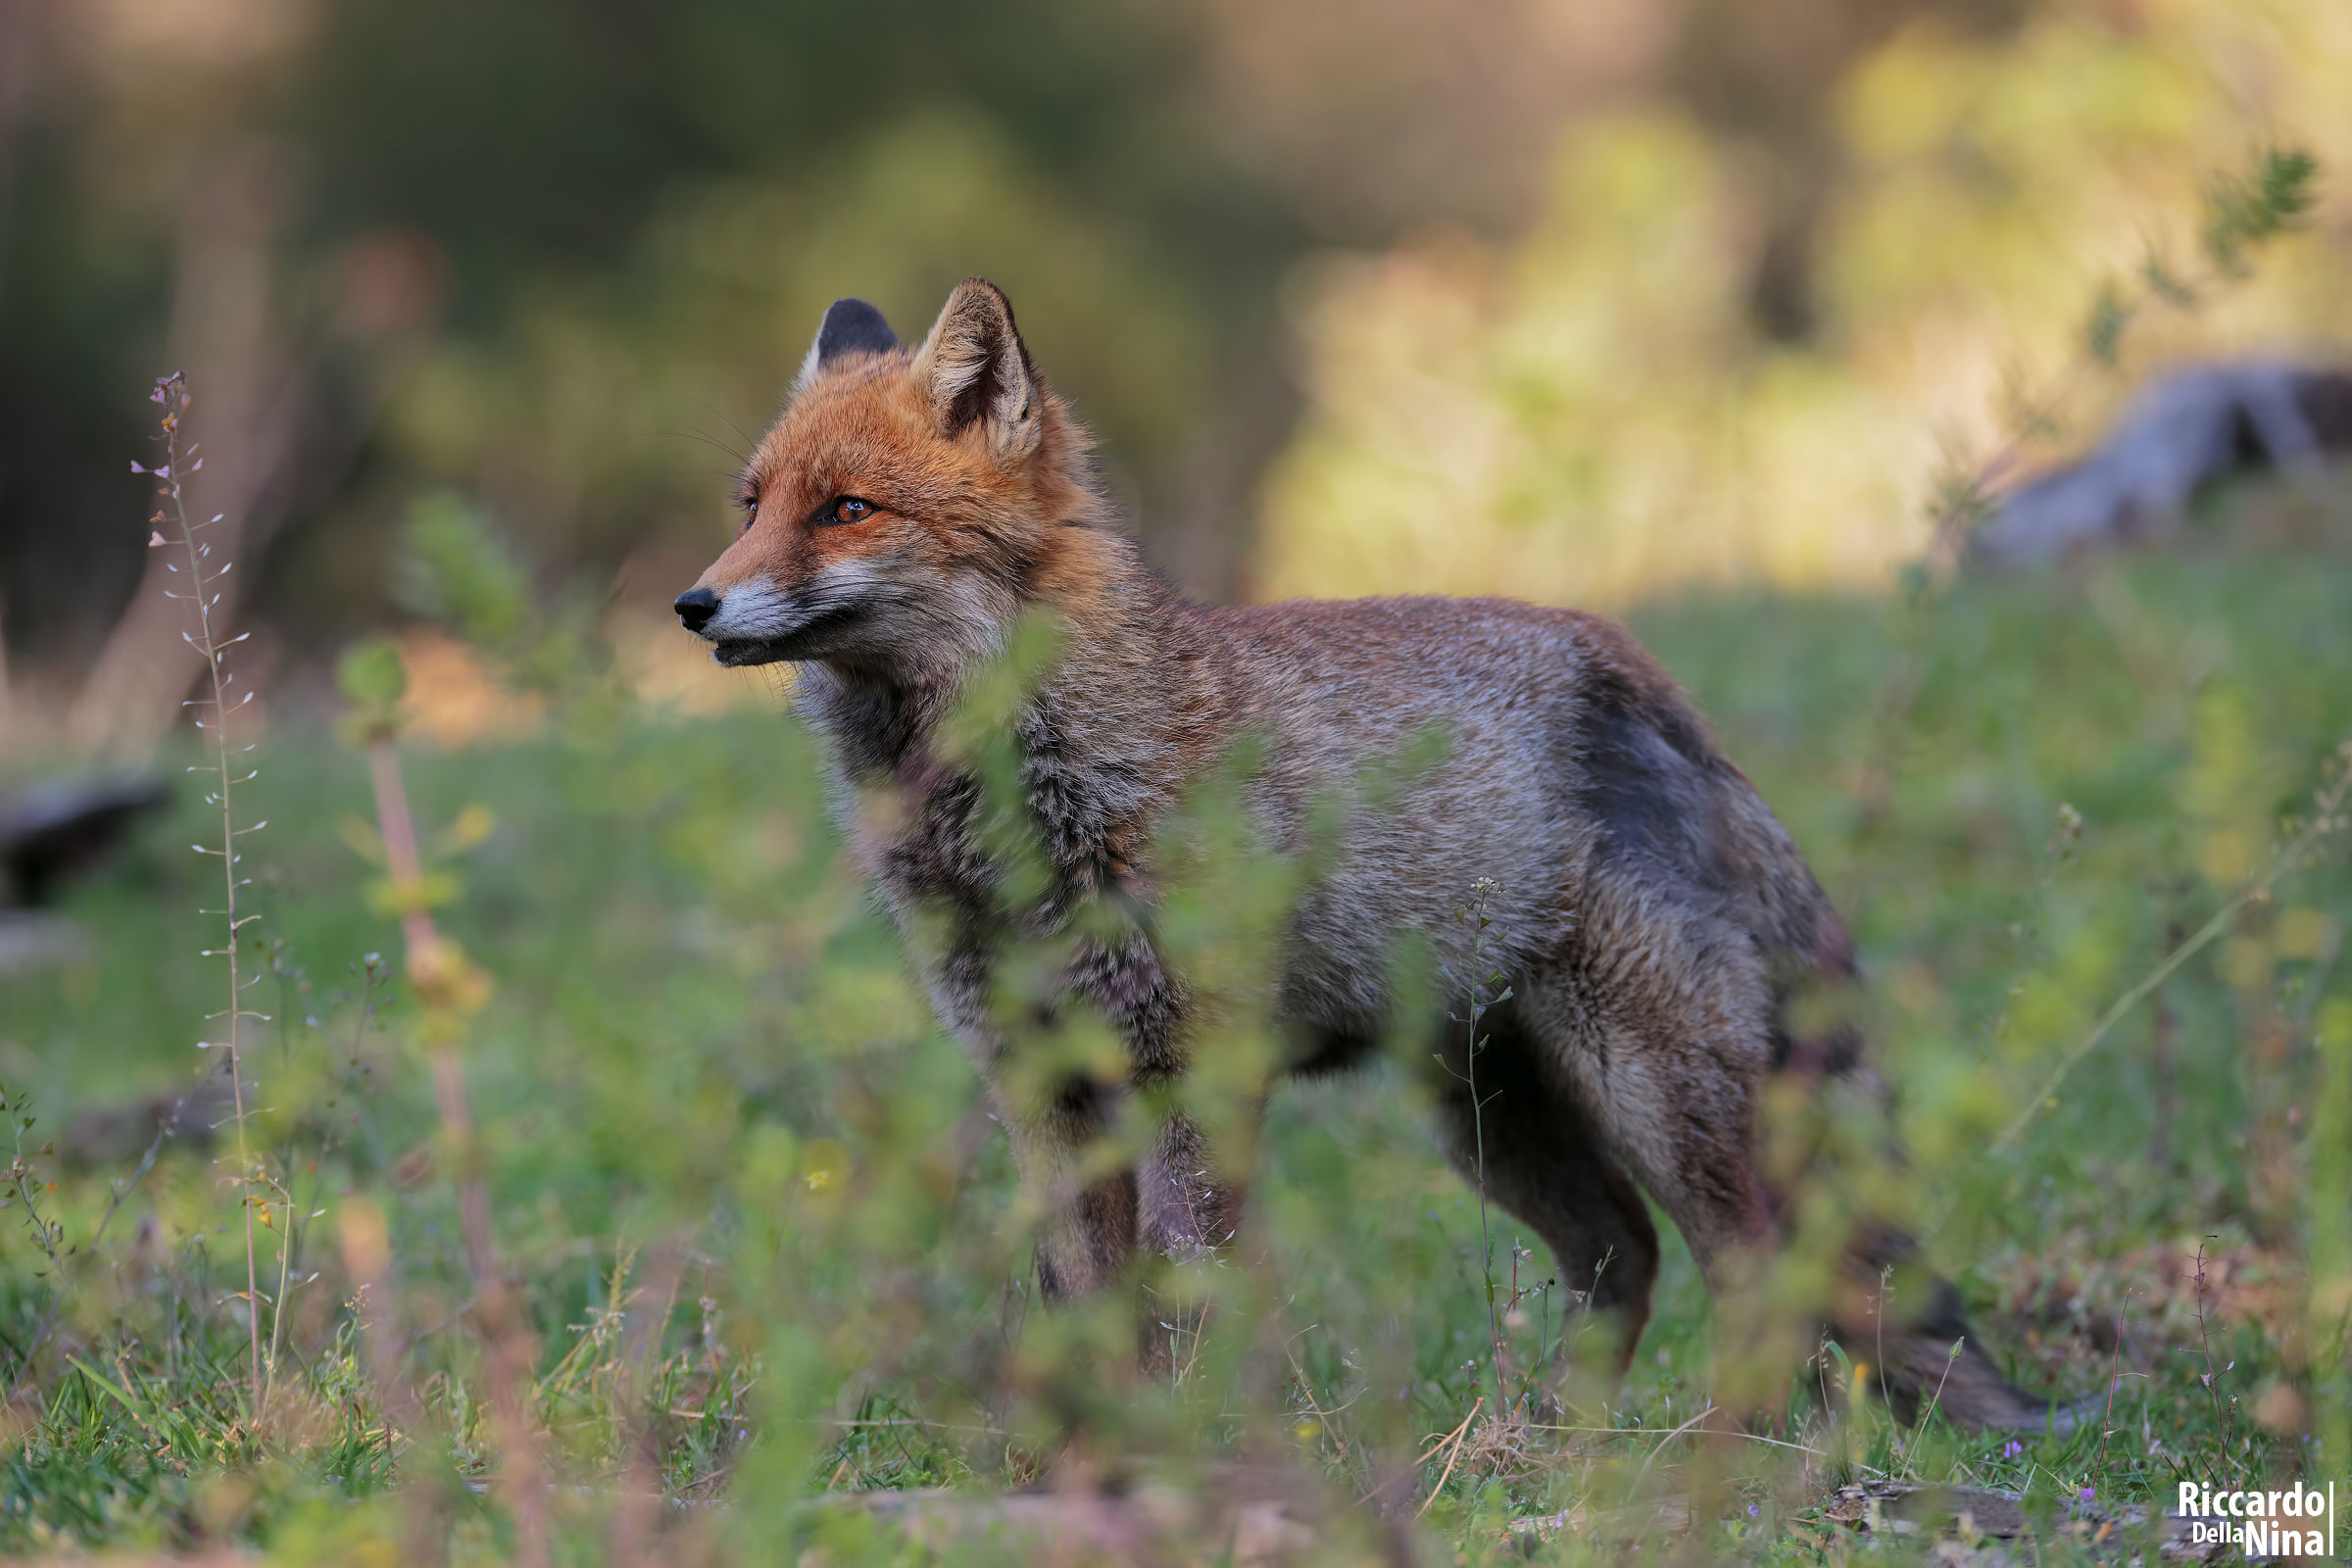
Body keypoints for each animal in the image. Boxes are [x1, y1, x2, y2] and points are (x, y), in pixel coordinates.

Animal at [675, 278, 2074, 1431]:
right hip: (1493, 1115)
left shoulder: (1193, 1071)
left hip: (1646, 1088)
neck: (1026, 812)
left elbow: (1192, 1295)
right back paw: (1561, 1453)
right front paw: (1079, 1464)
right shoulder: (1039, 1080)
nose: (692, 604)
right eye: (749, 506)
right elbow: (1084, 1303)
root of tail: (1637, 676)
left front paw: (1196, 1452)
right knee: (1626, 1259)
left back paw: (1709, 1466)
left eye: (846, 510)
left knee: (1765, 1277)